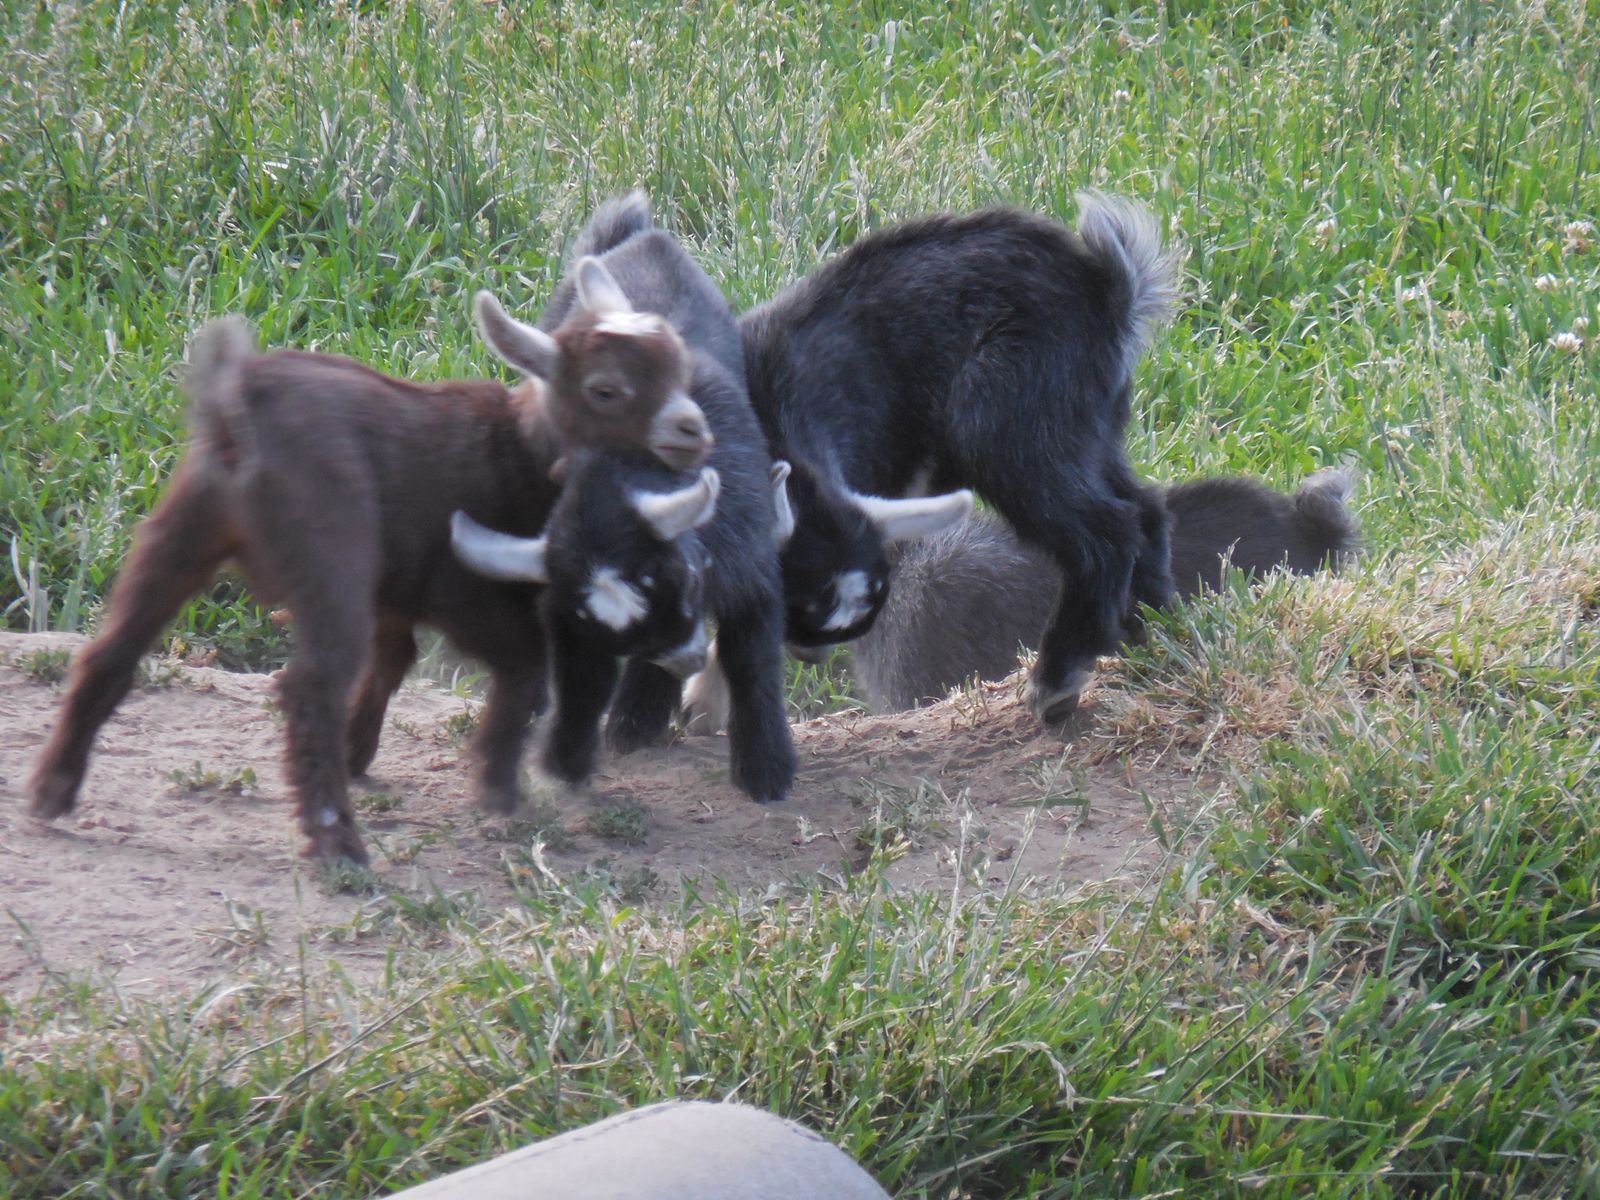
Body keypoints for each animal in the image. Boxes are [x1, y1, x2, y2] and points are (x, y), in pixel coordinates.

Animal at [27, 258, 712, 865]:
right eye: (606, 390)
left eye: (681, 368)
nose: (693, 431)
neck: (518, 448)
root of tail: (239, 407)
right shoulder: (461, 591)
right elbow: (522, 667)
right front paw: (498, 789)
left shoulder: (395, 594)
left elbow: (393, 660)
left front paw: (359, 754)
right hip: (331, 549)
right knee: (309, 687)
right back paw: (338, 846)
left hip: (182, 526)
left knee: (112, 649)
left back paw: (53, 792)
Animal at [458, 193, 798, 803]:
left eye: (686, 580)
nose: (688, 658)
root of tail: (641, 235)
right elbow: (581, 678)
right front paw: (570, 759)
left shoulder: (750, 565)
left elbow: (753, 660)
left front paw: (767, 772)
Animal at [734, 193, 1181, 724]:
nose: (810, 650)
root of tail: (1109, 293)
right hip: (1088, 433)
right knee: (1145, 509)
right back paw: (1153, 627)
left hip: (1004, 421)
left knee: (1106, 534)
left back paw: (1057, 679)